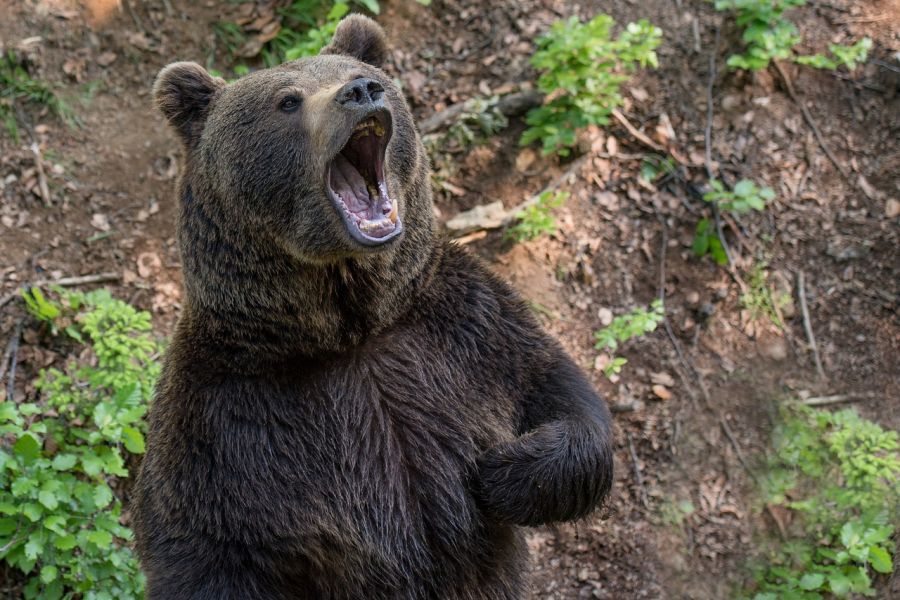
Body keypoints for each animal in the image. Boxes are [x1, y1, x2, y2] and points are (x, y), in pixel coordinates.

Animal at [132, 15, 612, 600]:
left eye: (365, 75)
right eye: (287, 100)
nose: (361, 92)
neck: (352, 328)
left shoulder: (466, 330)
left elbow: (563, 395)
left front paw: (503, 471)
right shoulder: (225, 424)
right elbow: (203, 553)